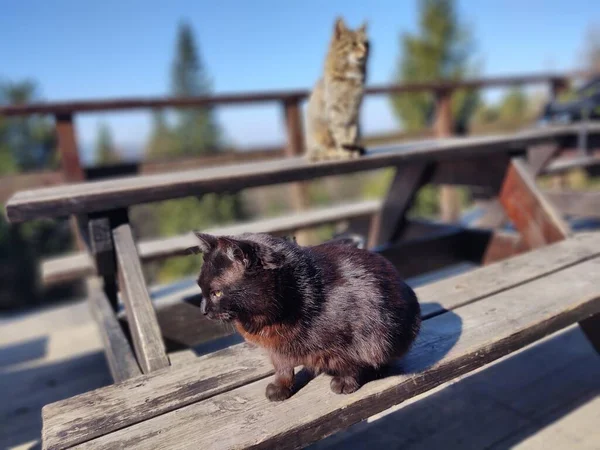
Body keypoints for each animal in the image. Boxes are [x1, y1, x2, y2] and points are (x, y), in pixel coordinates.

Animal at [308, 18, 368, 162]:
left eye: (367, 44)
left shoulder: (355, 110)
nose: (365, 52)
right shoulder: (335, 109)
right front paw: (345, 152)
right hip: (320, 134)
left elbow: (352, 133)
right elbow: (340, 135)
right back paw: (333, 153)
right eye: (353, 44)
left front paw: (353, 150)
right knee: (321, 151)